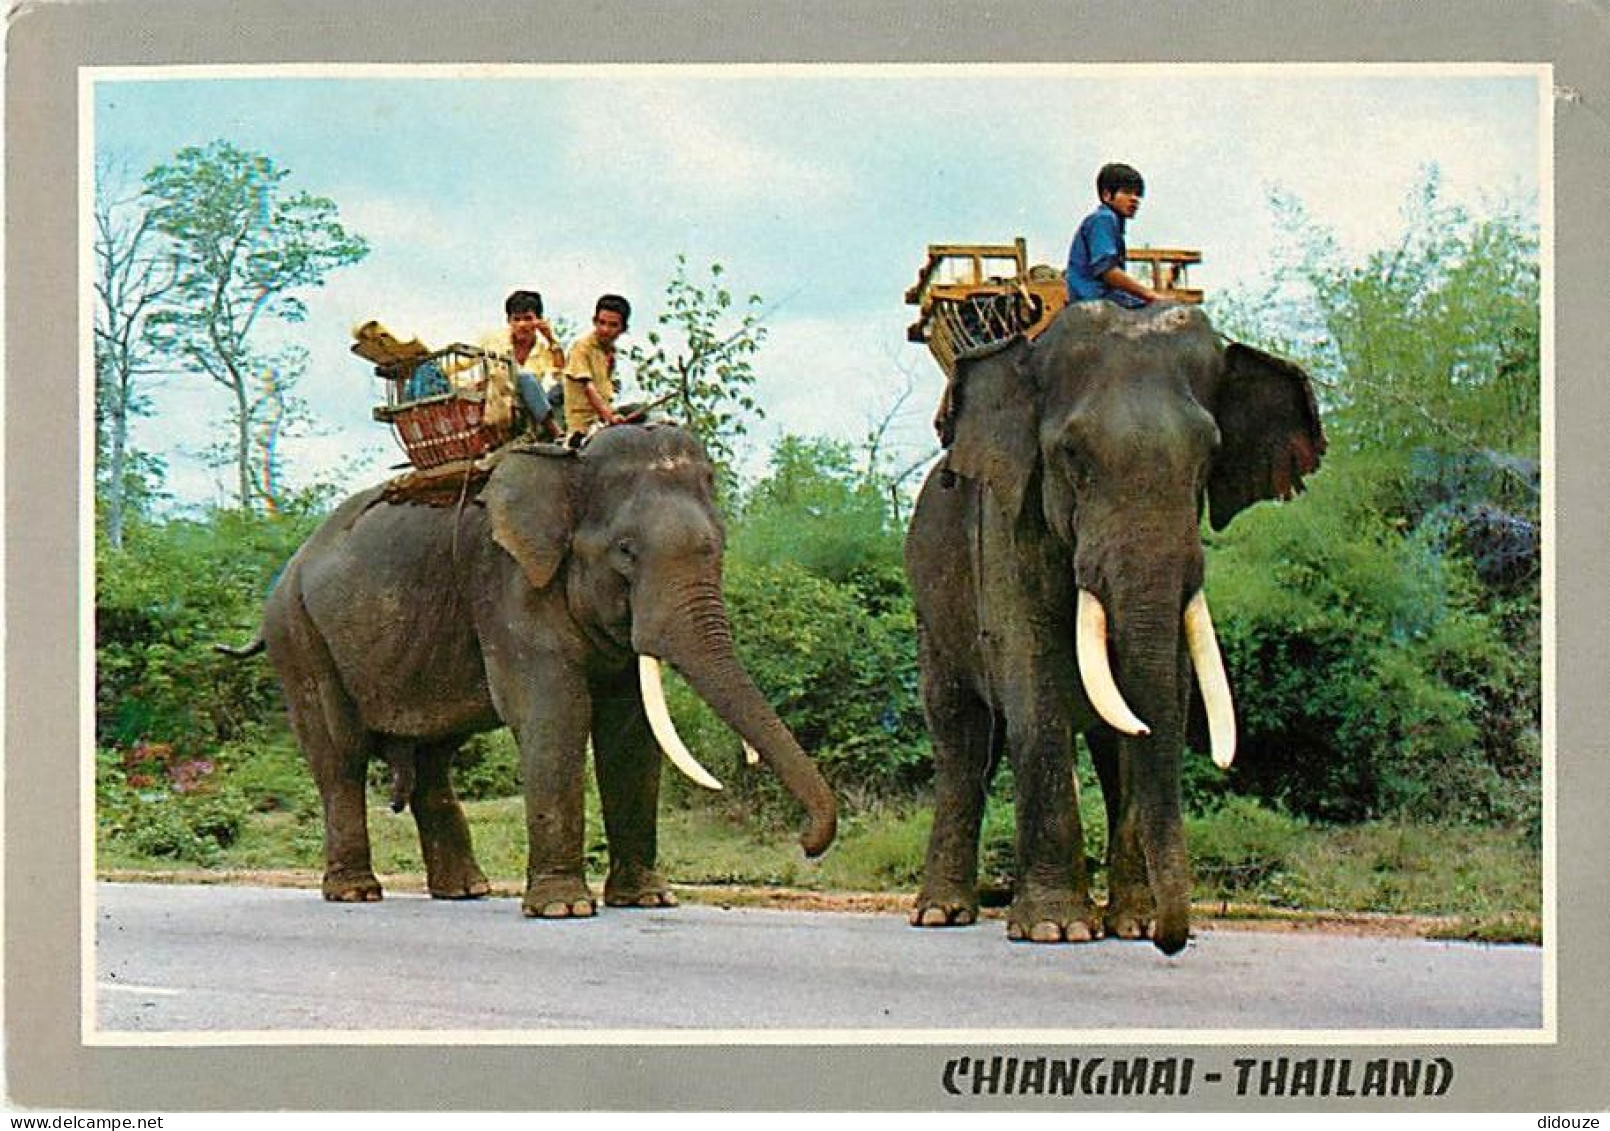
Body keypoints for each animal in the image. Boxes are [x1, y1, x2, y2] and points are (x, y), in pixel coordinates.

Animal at [220, 425, 837, 921]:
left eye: (719, 547)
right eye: (626, 552)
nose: (807, 843)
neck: (568, 467)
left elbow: (630, 732)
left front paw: (648, 900)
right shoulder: (509, 579)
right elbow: (554, 712)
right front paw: (564, 910)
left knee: (431, 761)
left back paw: (465, 891)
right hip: (300, 636)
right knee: (340, 758)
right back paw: (356, 893)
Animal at [908, 301, 1320, 953]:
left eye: (1209, 456)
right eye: (1072, 455)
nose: (1174, 943)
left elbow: (1160, 701)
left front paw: (1135, 925)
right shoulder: (1008, 530)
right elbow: (1034, 696)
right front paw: (1055, 929)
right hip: (932, 611)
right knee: (962, 742)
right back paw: (941, 914)